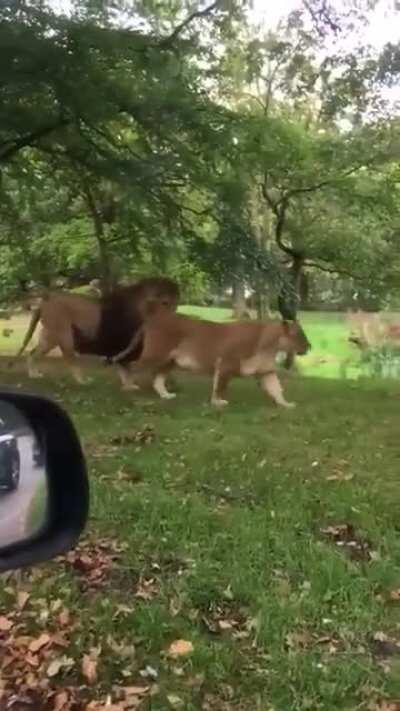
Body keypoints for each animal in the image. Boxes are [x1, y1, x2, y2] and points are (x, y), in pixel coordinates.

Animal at [12, 277, 180, 389]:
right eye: (165, 302)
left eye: (176, 302)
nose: (175, 317)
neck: (145, 309)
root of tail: (45, 301)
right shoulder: (121, 343)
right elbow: (126, 367)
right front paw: (130, 386)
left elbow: (124, 367)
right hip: (63, 334)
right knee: (69, 358)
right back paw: (82, 381)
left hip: (49, 337)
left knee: (32, 353)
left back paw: (34, 375)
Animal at [112, 311, 311, 407]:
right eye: (299, 335)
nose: (309, 346)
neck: (271, 346)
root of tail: (152, 319)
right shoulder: (226, 364)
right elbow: (220, 385)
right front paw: (218, 403)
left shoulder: (266, 371)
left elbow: (276, 389)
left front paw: (286, 405)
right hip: (156, 354)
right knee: (130, 364)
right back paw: (128, 386)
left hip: (169, 361)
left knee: (157, 379)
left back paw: (166, 396)